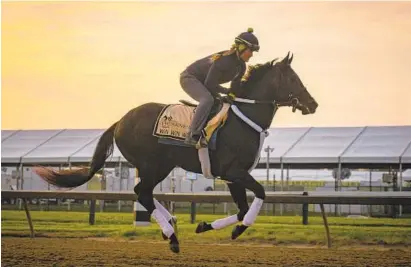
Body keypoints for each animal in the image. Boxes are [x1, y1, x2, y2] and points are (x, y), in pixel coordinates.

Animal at [34, 52, 318, 255]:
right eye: (293, 79)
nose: (313, 104)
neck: (244, 119)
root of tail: (121, 121)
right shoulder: (235, 172)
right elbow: (260, 194)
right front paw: (238, 230)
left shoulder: (231, 177)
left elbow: (242, 207)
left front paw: (205, 226)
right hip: (151, 164)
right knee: (143, 193)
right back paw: (171, 237)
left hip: (160, 166)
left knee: (143, 192)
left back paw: (170, 224)